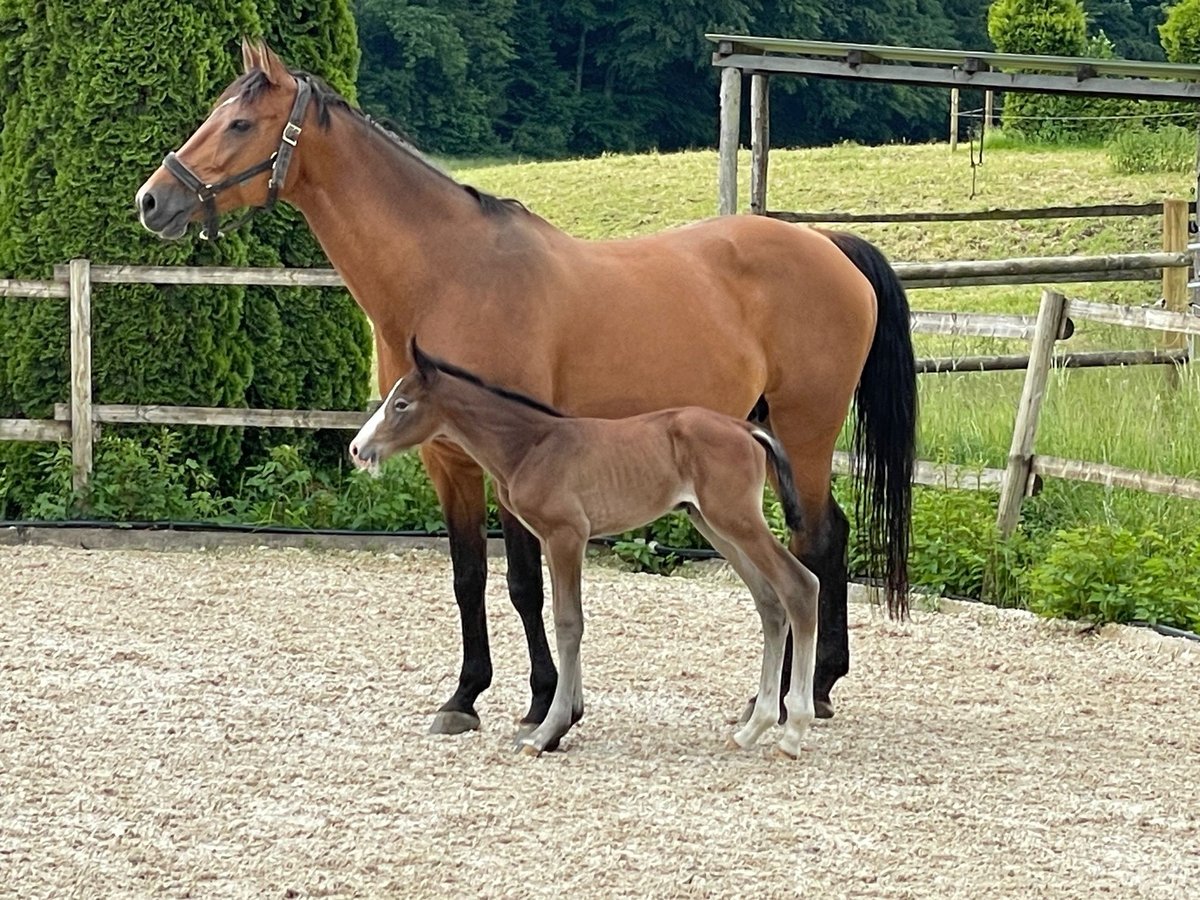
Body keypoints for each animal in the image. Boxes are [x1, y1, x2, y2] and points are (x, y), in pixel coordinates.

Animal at [350, 340, 820, 758]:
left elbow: (568, 623)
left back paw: (793, 732)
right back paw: (752, 729)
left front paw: (546, 731)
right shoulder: (552, 539)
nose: (357, 448)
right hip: (712, 522)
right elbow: (562, 615)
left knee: (799, 586)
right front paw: (561, 722)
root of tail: (747, 428)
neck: (531, 445)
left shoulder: (567, 535)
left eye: (402, 404)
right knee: (769, 603)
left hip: (736, 519)